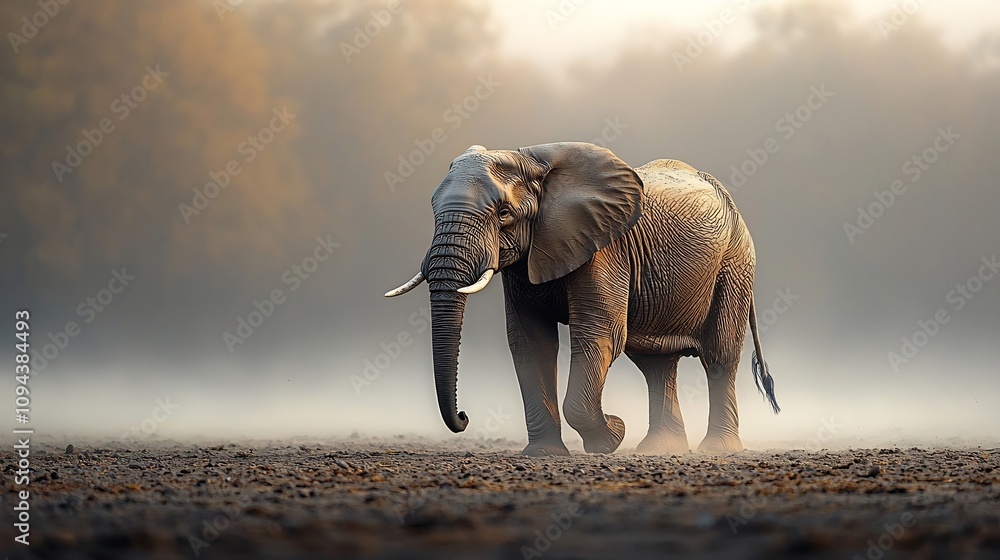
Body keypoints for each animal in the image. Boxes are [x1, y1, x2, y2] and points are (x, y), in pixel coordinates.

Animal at [385, 142, 779, 456]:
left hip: (735, 264)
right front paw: (545, 455)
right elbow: (530, 342)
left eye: (504, 214)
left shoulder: (605, 249)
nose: (465, 416)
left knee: (719, 356)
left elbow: (598, 334)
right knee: (656, 365)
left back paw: (717, 450)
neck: (532, 159)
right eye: (433, 210)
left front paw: (613, 435)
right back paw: (659, 450)